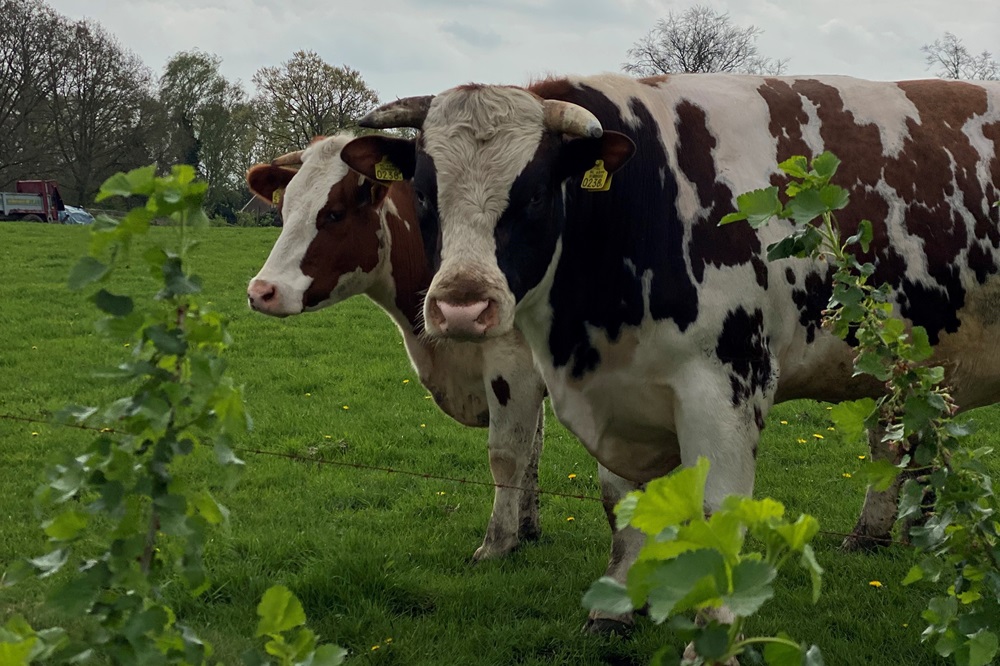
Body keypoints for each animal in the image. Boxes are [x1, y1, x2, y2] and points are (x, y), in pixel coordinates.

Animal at [246, 136, 644, 596]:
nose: (262, 291)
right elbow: (533, 449)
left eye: (333, 214)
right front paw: (526, 528)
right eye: (284, 210)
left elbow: (507, 453)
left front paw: (497, 543)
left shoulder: (513, 366)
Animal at [342, 72, 1000, 616]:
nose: (460, 306)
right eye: (424, 194)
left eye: (533, 195)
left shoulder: (729, 386)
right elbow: (619, 502)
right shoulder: (611, 389)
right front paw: (614, 609)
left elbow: (719, 519)